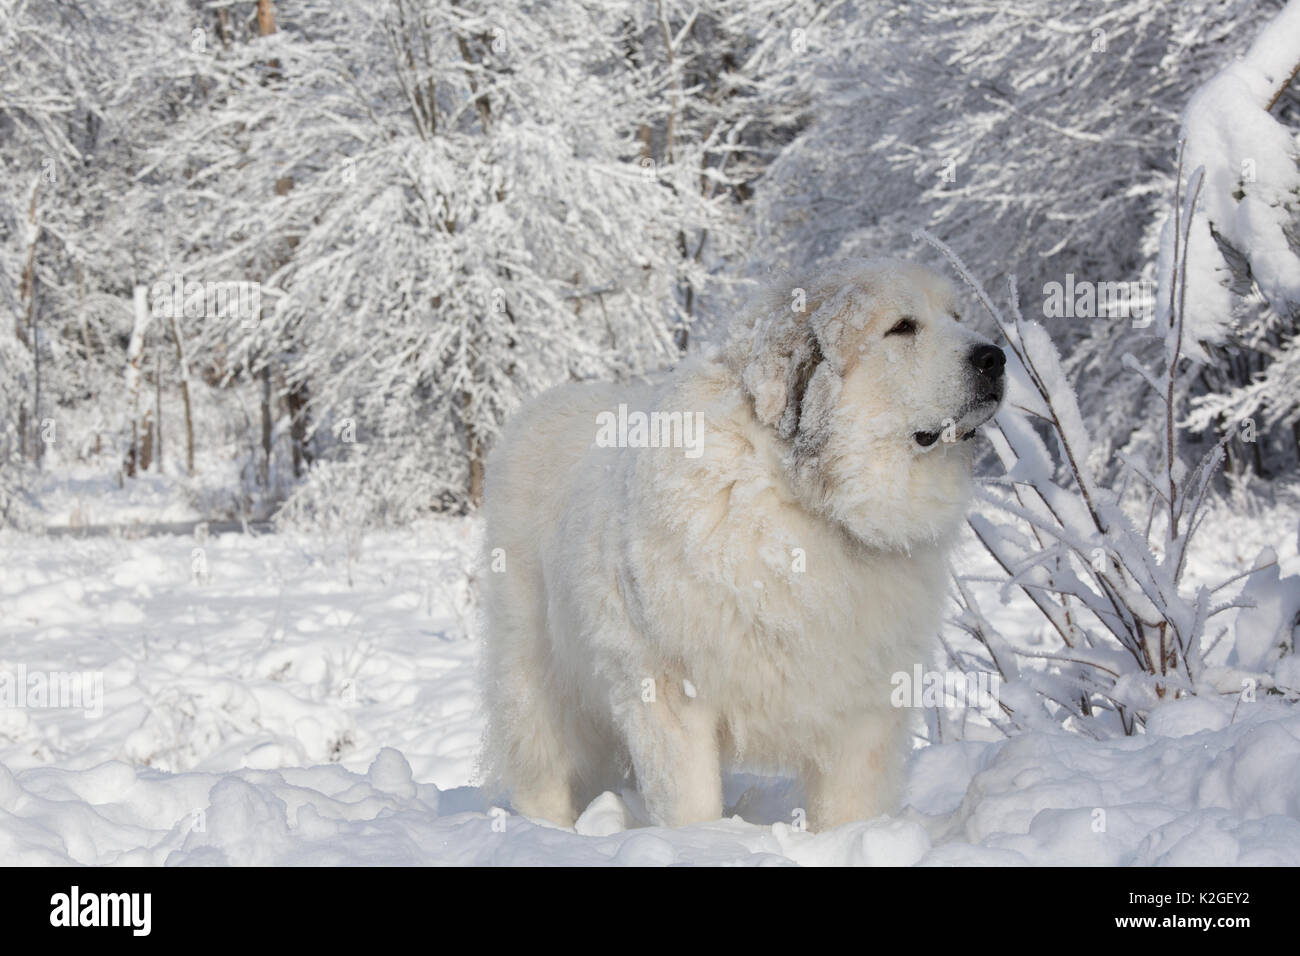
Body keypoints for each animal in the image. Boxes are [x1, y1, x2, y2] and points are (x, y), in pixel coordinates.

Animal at [478, 260, 1003, 832]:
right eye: (903, 327)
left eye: (957, 316)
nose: (995, 357)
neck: (803, 502)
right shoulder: (668, 688)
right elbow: (691, 803)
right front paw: (700, 843)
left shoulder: (862, 706)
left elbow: (849, 806)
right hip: (537, 678)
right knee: (542, 765)